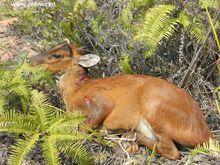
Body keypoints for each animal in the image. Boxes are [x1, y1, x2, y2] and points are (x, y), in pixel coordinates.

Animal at [29, 42, 213, 160]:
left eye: (57, 55)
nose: (31, 60)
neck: (74, 90)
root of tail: (205, 133)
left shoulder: (101, 101)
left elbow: (85, 129)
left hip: (155, 109)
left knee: (172, 151)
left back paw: (128, 136)